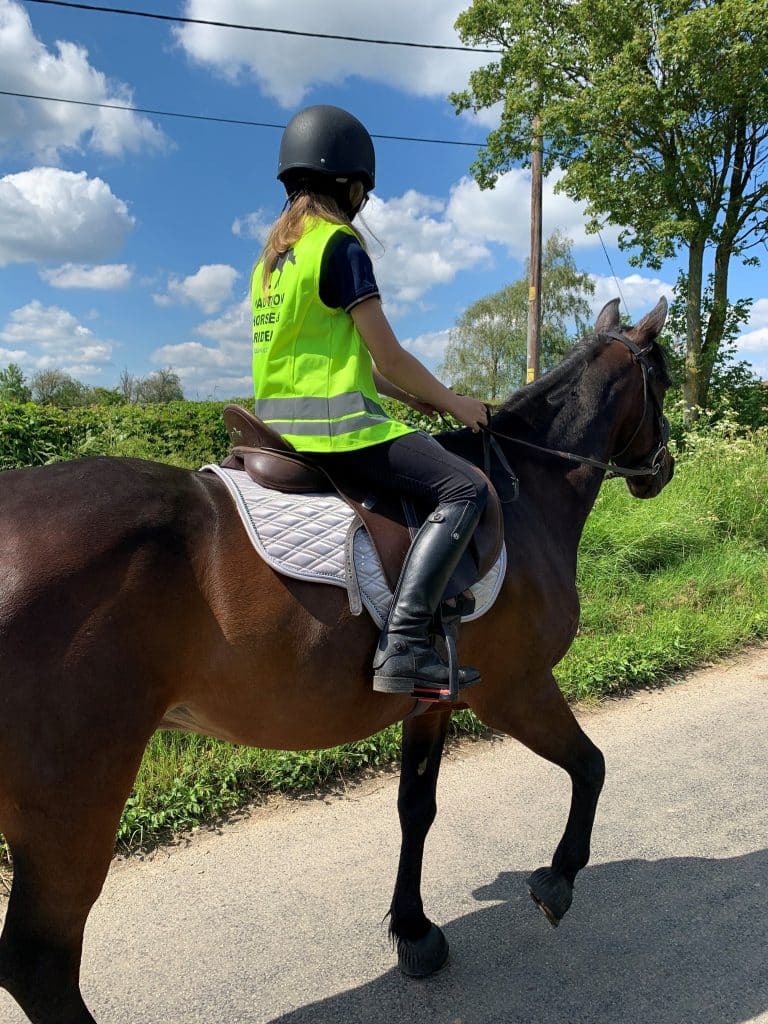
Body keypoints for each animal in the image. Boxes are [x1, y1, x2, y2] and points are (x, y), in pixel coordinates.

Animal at [0, 292, 671, 1019]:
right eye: (663, 378)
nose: (662, 470)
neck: (525, 488)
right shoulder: (517, 689)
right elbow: (591, 766)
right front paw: (558, 879)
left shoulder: (432, 701)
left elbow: (417, 808)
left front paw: (414, 931)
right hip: (76, 793)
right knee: (39, 959)